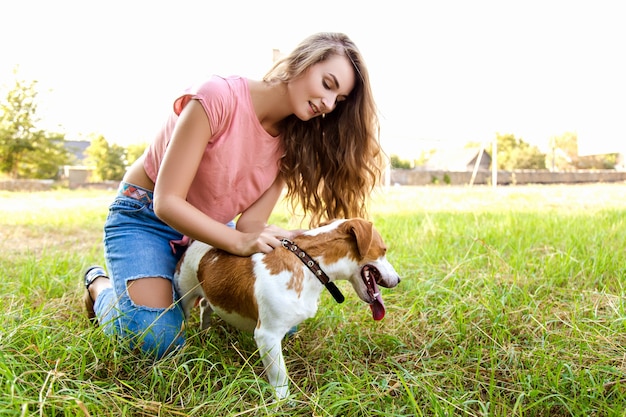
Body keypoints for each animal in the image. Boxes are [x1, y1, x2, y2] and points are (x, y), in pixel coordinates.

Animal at [173, 216, 400, 398]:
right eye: (384, 250)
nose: (398, 280)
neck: (308, 264)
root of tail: (195, 244)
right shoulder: (267, 336)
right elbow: (279, 374)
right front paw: (282, 401)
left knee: (206, 305)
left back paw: (205, 331)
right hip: (185, 295)